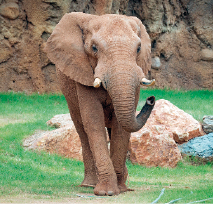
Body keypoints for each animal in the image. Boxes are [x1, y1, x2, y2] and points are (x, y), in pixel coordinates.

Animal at [44, 12, 155, 196]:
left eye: (139, 48)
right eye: (94, 48)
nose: (151, 99)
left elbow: (120, 128)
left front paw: (120, 189)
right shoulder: (83, 72)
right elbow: (93, 122)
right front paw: (107, 192)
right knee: (82, 131)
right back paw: (89, 185)